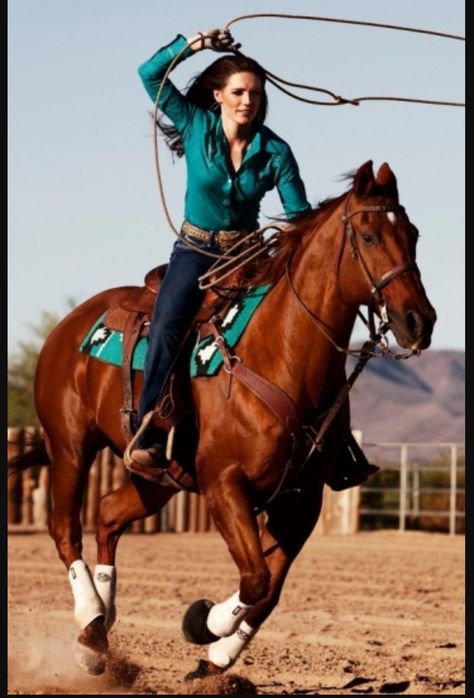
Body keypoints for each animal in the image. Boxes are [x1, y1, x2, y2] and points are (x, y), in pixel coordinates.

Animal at [8, 159, 436, 680]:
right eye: (371, 236)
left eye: (412, 234)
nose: (420, 320)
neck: (281, 355)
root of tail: (69, 324)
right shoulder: (224, 485)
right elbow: (254, 579)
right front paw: (204, 622)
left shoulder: (302, 499)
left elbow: (269, 590)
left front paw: (215, 656)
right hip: (71, 446)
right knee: (64, 527)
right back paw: (90, 616)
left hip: (159, 478)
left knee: (107, 514)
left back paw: (98, 637)